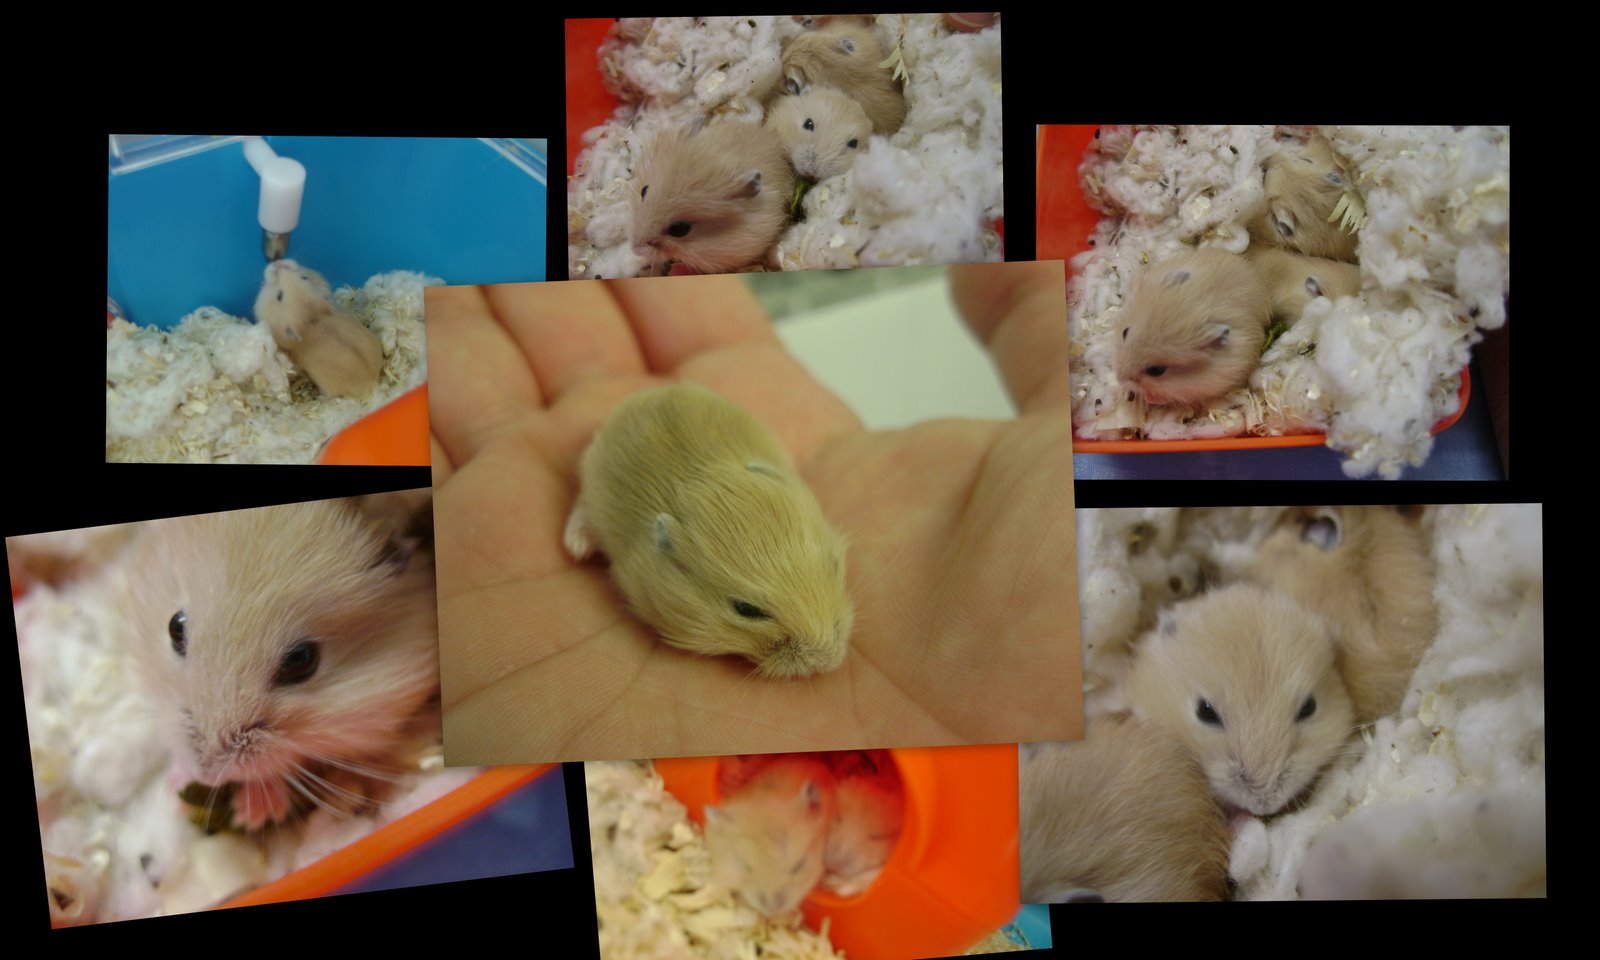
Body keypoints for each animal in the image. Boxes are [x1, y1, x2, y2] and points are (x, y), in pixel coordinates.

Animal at [564, 383, 852, 679]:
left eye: (834, 565)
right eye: (746, 609)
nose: (830, 661)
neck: (706, 484)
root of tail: (644, 396)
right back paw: (576, 547)